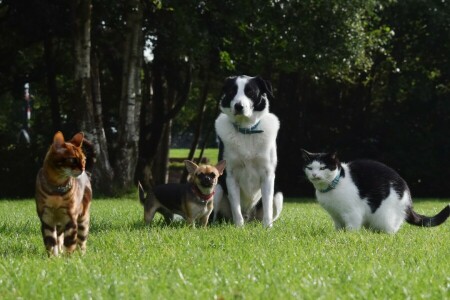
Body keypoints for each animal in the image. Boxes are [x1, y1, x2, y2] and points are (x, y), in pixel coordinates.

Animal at [214, 75, 284, 227]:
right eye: (232, 91)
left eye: (250, 92)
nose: (238, 106)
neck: (246, 130)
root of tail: (249, 218)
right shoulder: (230, 175)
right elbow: (236, 208)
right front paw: (239, 228)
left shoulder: (268, 175)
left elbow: (267, 206)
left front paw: (267, 227)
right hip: (217, 188)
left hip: (278, 196)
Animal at [300, 149, 448, 233]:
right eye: (310, 168)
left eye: (323, 168)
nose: (314, 174)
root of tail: (408, 200)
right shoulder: (336, 216)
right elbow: (339, 228)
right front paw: (338, 235)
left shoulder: (353, 213)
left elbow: (352, 228)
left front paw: (348, 237)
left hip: (384, 216)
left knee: (392, 230)